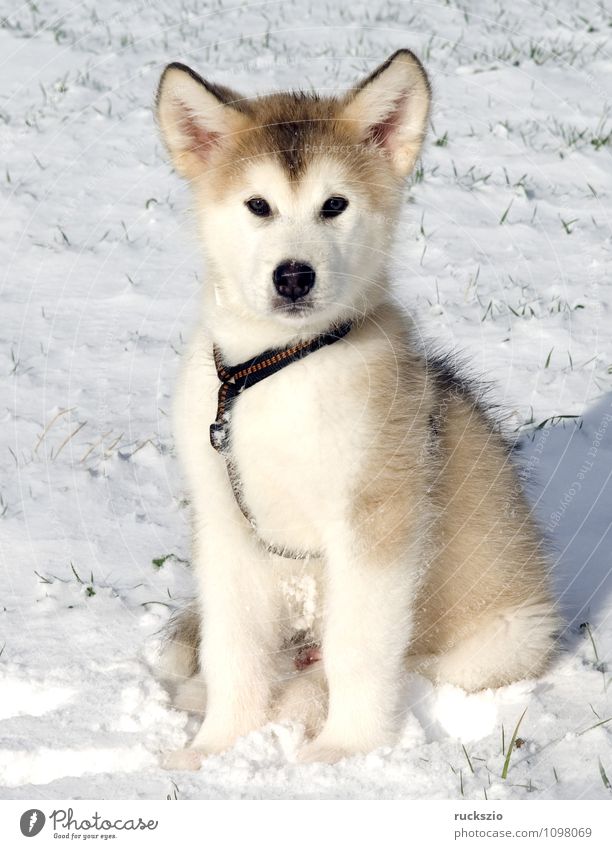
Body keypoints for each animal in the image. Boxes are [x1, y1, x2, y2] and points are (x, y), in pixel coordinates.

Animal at [154, 51, 560, 768]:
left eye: (334, 205)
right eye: (258, 205)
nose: (294, 275)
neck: (277, 368)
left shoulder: (376, 518)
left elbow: (359, 648)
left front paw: (347, 749)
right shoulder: (225, 522)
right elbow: (233, 647)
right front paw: (217, 747)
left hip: (506, 637)